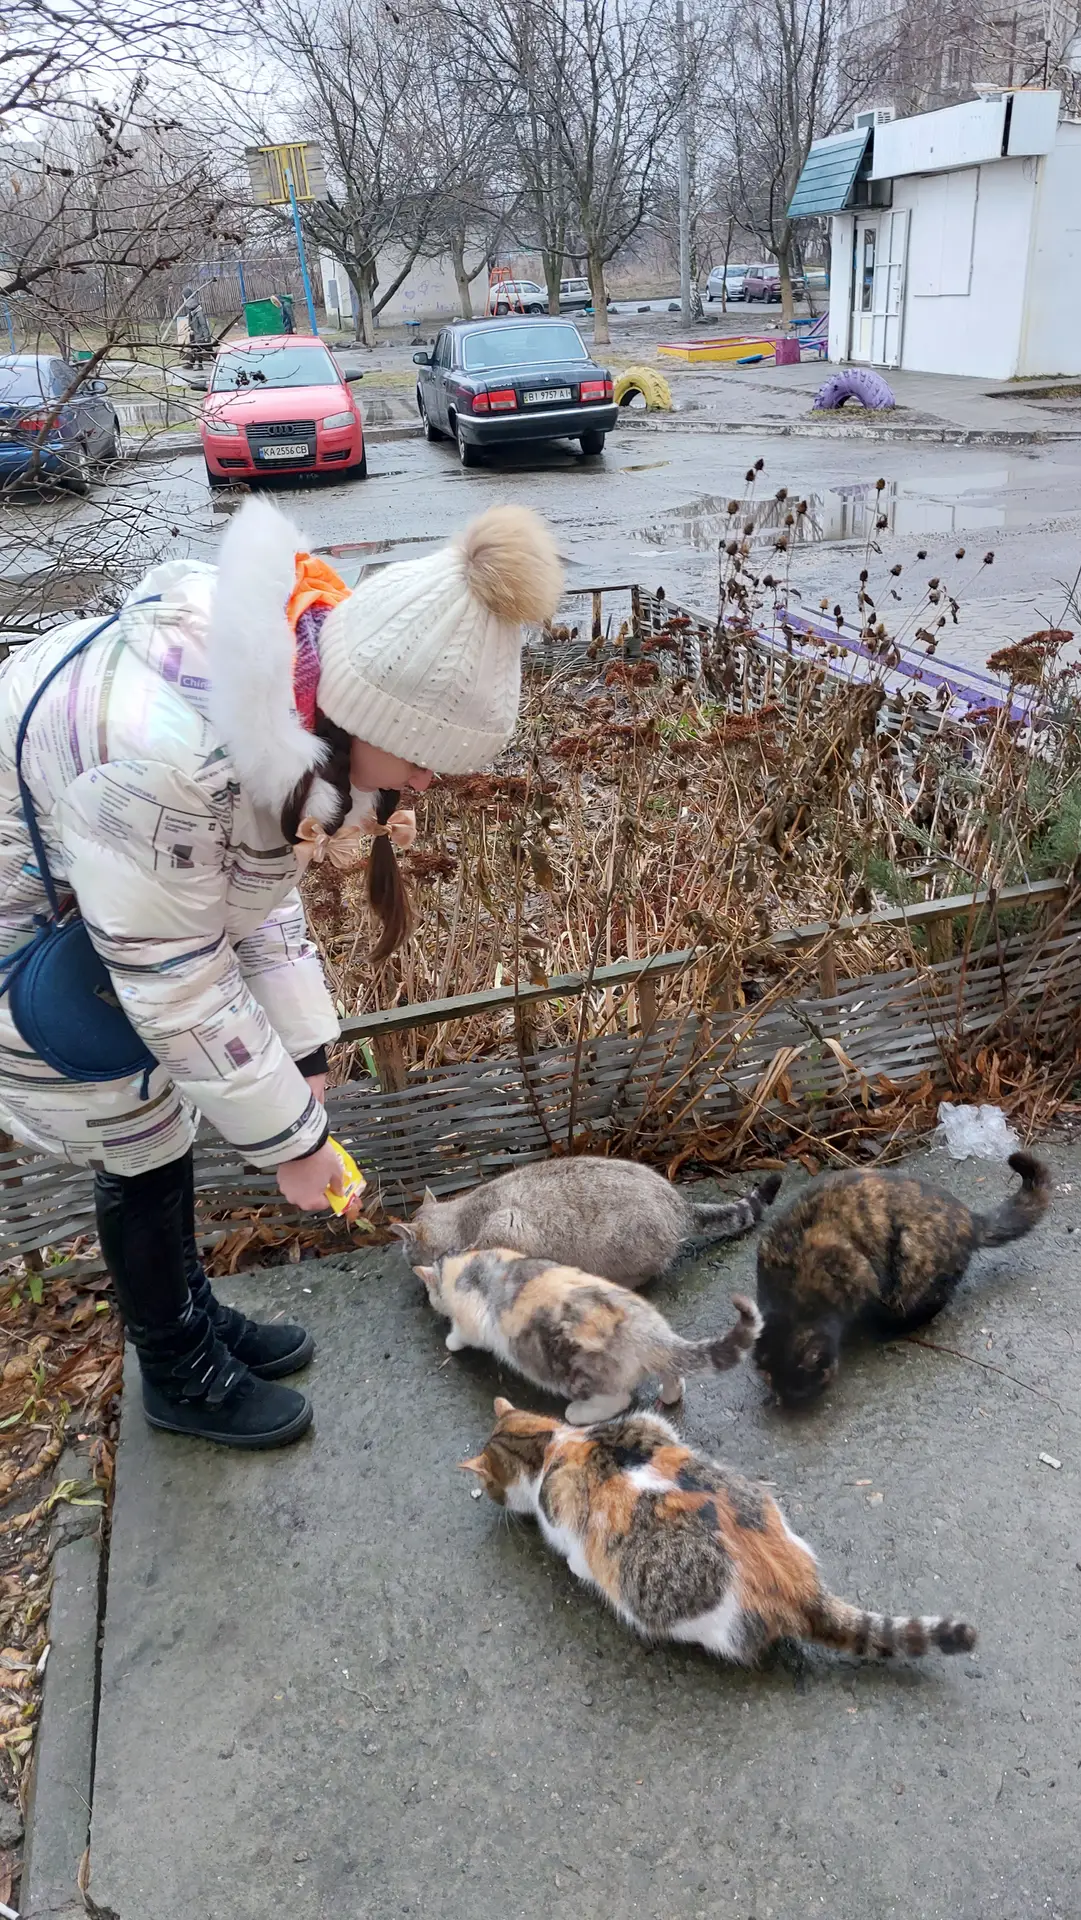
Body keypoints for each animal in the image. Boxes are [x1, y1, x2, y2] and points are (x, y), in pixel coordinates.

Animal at [412, 1246, 762, 1423]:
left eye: (430, 1294)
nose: (429, 1301)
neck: (469, 1266)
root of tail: (646, 1330)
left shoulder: (471, 1319)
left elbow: (462, 1333)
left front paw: (451, 1339)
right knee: (673, 1375)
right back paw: (670, 1393)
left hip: (577, 1374)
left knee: (619, 1399)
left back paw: (576, 1413)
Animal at [462, 1397, 977, 1664]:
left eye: (489, 1486)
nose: (493, 1501)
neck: (555, 1444)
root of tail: (802, 1590)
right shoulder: (651, 1421)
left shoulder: (562, 1514)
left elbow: (575, 1554)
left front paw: (573, 1565)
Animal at [754, 1150, 1050, 1406]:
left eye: (801, 1391)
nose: (787, 1404)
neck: (791, 1292)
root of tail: (970, 1218)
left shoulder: (859, 1273)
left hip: (912, 1265)